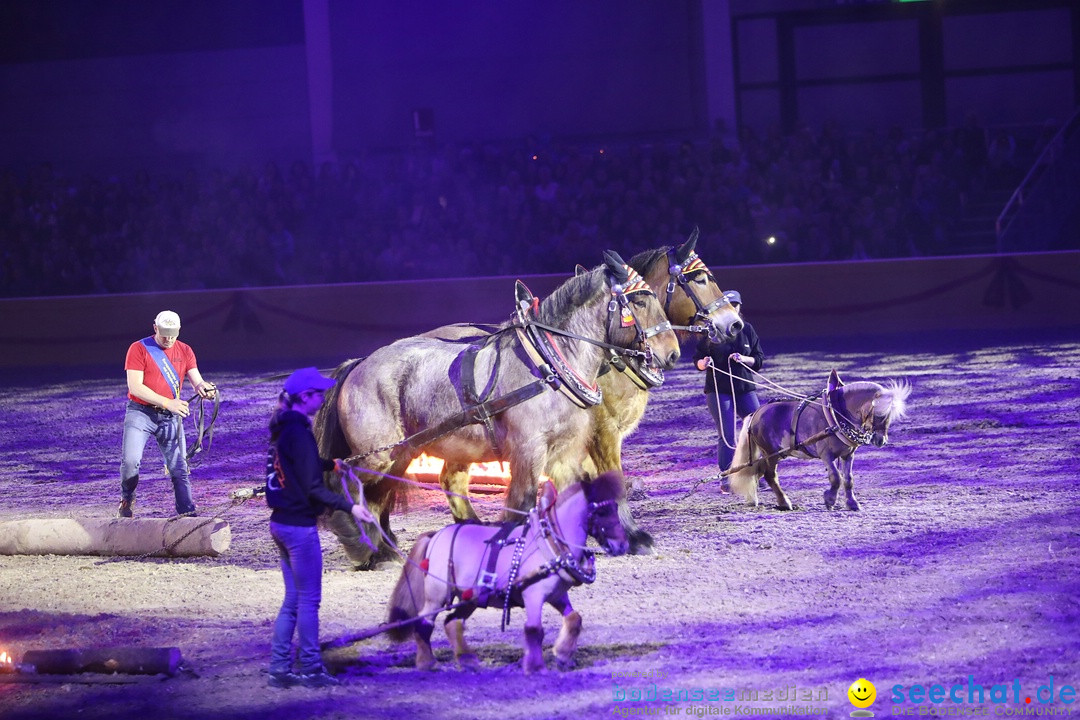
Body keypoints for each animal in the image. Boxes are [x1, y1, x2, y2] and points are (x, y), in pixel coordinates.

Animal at [315, 253, 678, 569]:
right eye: (640, 301)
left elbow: (579, 496)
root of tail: (359, 364)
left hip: (401, 454)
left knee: (380, 495)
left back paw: (386, 551)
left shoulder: (562, 453)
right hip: (377, 455)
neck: (549, 365)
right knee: (344, 480)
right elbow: (525, 503)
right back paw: (361, 543)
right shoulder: (532, 450)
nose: (672, 353)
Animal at [429, 231, 743, 552]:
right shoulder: (602, 431)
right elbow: (612, 480)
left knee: (451, 479)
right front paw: (628, 534)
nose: (734, 324)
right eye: (700, 279)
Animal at [725, 371, 911, 511]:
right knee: (769, 476)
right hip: (771, 453)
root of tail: (756, 413)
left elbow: (848, 479)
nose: (881, 441)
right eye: (879, 413)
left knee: (756, 472)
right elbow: (835, 477)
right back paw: (784, 502)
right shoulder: (825, 454)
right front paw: (829, 500)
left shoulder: (848, 455)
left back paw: (752, 498)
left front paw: (852, 503)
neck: (837, 414)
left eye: (889, 415)